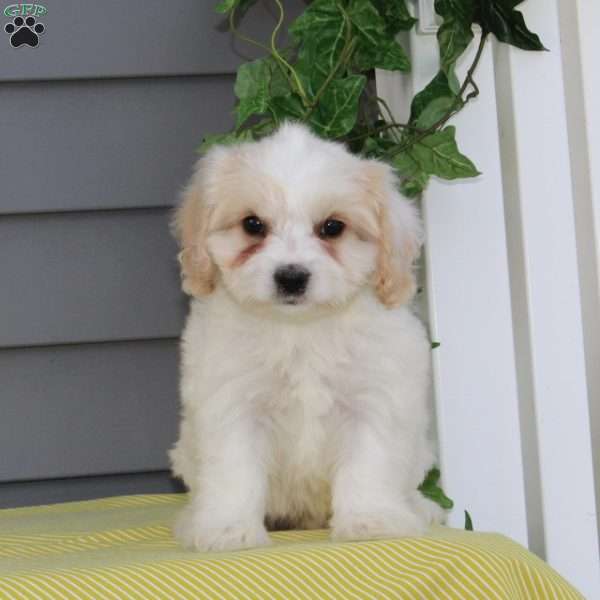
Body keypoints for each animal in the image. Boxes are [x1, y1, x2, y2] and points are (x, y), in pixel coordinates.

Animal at [169, 123, 440, 552]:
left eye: (332, 227)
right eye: (252, 225)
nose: (291, 276)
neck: (300, 330)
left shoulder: (374, 400)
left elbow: (369, 463)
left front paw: (371, 521)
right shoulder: (232, 404)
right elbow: (233, 470)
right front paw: (227, 530)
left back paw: (417, 509)